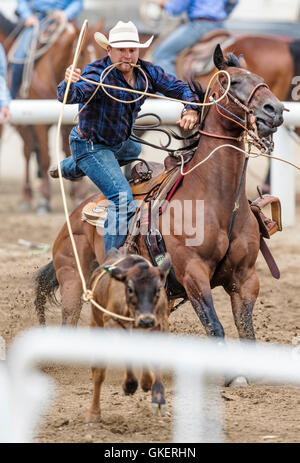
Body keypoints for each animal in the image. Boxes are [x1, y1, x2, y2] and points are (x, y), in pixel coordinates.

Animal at [35, 47, 284, 388]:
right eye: (231, 83)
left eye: (260, 79)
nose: (276, 109)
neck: (214, 199)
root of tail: (72, 218)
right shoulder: (193, 273)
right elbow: (215, 325)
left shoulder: (245, 277)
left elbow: (246, 328)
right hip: (73, 277)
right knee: (70, 319)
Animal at [85, 250, 172, 424]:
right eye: (130, 289)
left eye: (158, 289)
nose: (146, 320)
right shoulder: (111, 322)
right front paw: (130, 384)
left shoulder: (160, 324)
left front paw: (158, 397)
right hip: (96, 325)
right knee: (98, 373)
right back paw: (94, 413)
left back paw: (146, 381)